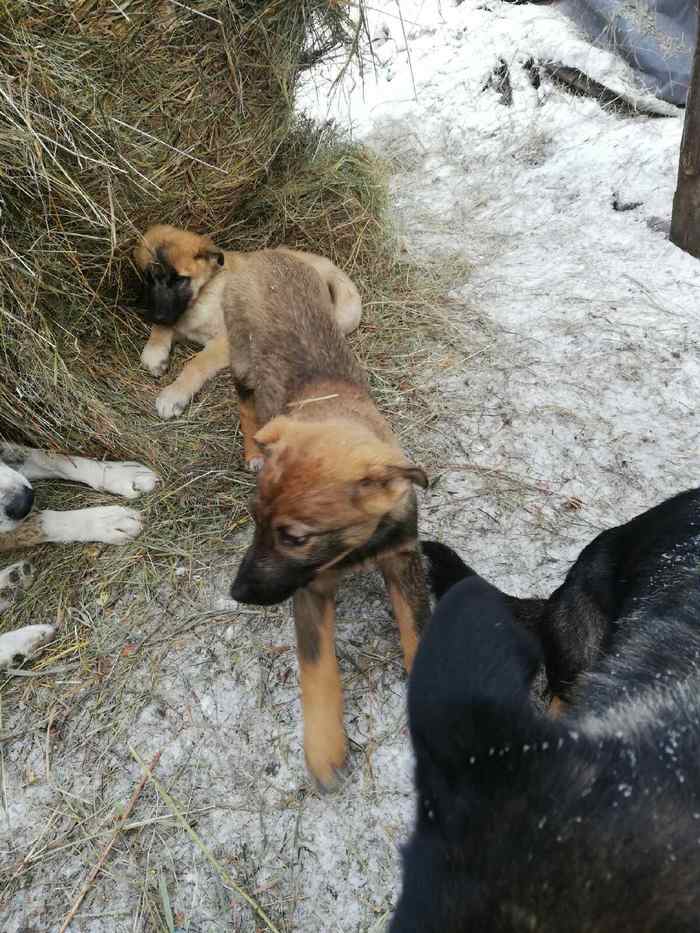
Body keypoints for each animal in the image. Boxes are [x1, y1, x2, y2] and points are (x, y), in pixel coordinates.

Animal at [133, 225, 360, 418]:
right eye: (148, 279)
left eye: (179, 280)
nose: (158, 316)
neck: (204, 294)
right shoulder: (177, 317)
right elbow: (161, 332)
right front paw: (155, 354)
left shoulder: (224, 340)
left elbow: (195, 364)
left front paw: (174, 395)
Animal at [227, 251, 430, 792]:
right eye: (252, 520)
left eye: (295, 537)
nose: (236, 594)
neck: (354, 549)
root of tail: (264, 252)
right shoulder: (309, 589)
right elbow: (318, 669)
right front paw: (324, 749)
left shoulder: (402, 558)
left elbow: (417, 629)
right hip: (240, 356)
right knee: (245, 401)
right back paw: (252, 446)